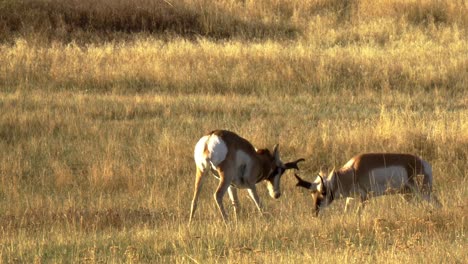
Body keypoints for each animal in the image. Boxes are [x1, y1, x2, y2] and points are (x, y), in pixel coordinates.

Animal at [294, 153, 440, 214]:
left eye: (324, 192)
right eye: (313, 194)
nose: (315, 212)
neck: (353, 170)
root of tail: (423, 163)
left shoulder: (364, 197)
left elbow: (359, 213)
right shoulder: (350, 198)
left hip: (422, 192)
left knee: (436, 202)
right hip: (407, 195)